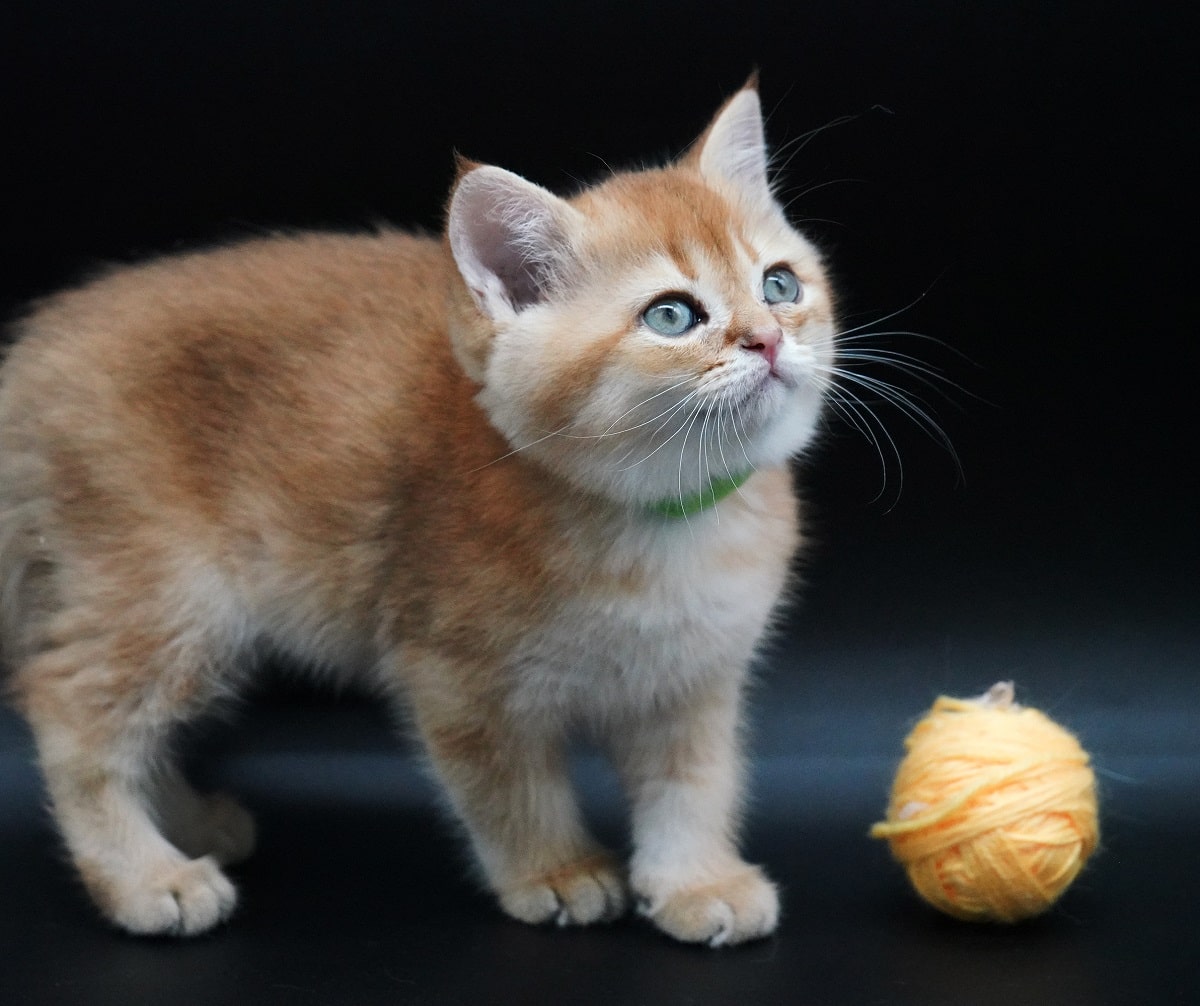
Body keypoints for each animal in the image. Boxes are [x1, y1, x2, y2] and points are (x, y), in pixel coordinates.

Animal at [0, 82, 835, 950]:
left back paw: (188, 823)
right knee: (69, 707)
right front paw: (556, 869)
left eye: (780, 286)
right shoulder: (454, 675)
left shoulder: (694, 681)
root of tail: (32, 351)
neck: (666, 524)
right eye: (672, 316)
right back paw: (146, 877)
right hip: (167, 591)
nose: (768, 339)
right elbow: (509, 788)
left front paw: (697, 881)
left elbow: (694, 786)